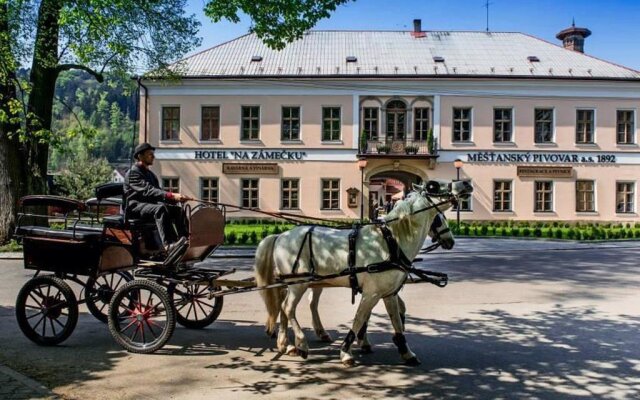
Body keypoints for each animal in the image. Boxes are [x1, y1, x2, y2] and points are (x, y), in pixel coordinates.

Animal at [254, 181, 470, 366]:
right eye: (434, 186)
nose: (466, 184)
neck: (390, 241)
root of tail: (281, 235)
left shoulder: (388, 293)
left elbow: (396, 321)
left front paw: (405, 351)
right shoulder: (371, 293)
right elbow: (359, 318)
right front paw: (347, 351)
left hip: (297, 283)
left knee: (288, 307)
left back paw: (286, 344)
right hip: (298, 283)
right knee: (288, 308)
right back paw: (301, 344)